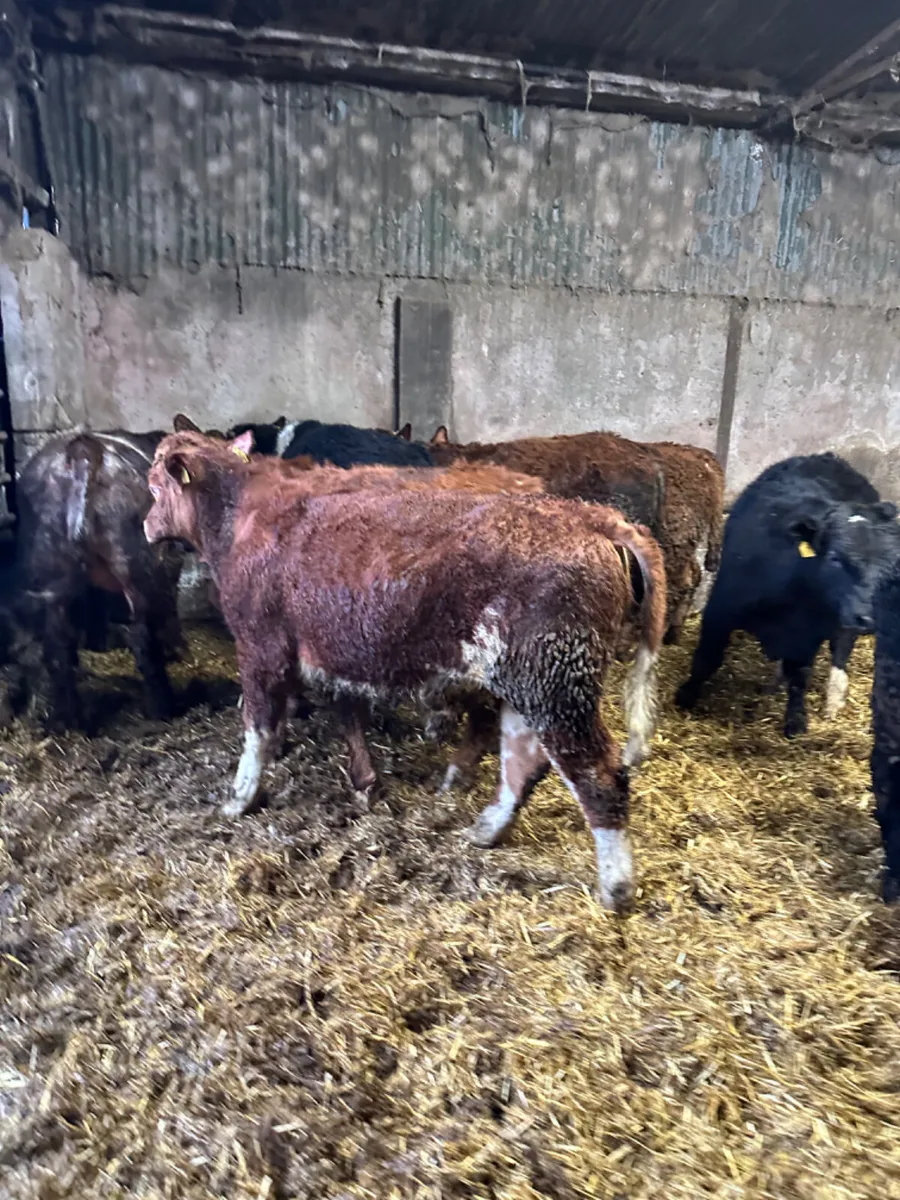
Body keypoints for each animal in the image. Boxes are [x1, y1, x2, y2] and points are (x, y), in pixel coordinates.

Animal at [15, 429, 185, 730]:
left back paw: (68, 720)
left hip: (48, 565)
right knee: (143, 635)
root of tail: (83, 451)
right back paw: (165, 708)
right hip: (138, 564)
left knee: (57, 643)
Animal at [144, 430, 668, 911]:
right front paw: (365, 782)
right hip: (530, 682)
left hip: (555, 683)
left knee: (599, 776)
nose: (147, 526)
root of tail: (589, 517)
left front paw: (240, 798)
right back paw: (487, 827)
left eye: (153, 485)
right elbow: (347, 715)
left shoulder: (260, 647)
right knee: (522, 759)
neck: (242, 515)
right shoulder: (333, 650)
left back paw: (616, 887)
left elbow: (257, 729)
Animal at [675, 452, 900, 737]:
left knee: (840, 651)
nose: (869, 618)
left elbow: (800, 676)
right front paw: (686, 696)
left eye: (890, 561)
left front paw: (796, 720)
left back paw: (832, 700)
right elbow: (706, 659)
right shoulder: (720, 610)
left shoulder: (808, 635)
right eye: (835, 557)